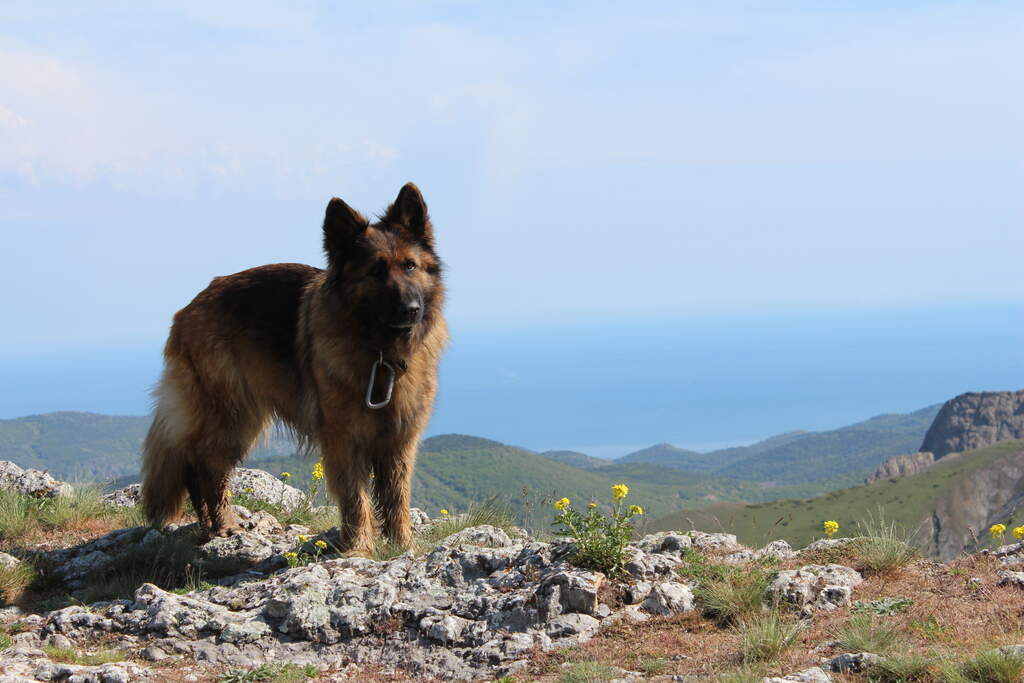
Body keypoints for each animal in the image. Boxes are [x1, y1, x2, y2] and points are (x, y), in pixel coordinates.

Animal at [140, 183, 448, 557]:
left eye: (410, 266)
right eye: (376, 271)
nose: (411, 309)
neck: (381, 353)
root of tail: (190, 307)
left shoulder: (400, 439)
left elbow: (396, 497)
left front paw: (402, 545)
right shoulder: (343, 439)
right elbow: (356, 500)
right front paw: (359, 549)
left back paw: (210, 527)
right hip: (235, 416)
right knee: (204, 463)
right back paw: (223, 525)